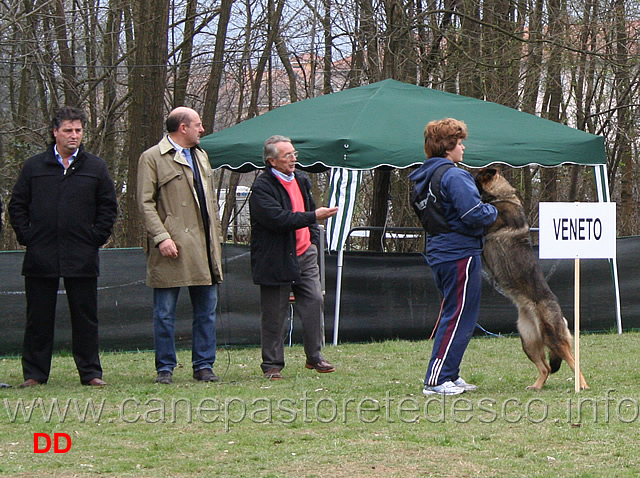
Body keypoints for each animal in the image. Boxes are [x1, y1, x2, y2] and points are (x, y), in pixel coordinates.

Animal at [472, 166, 588, 390]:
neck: (502, 197)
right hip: (528, 342)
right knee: (546, 368)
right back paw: (536, 386)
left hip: (552, 338)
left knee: (572, 360)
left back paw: (583, 385)